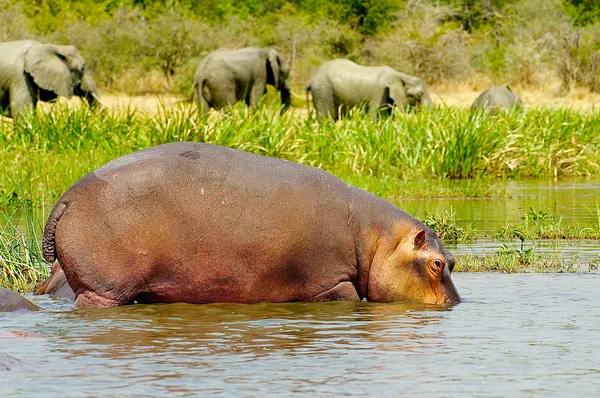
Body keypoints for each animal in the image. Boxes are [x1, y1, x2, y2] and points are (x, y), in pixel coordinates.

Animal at [304, 57, 432, 119]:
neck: (401, 75)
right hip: (323, 91)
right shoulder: (380, 93)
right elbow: (374, 116)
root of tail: (312, 78)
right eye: (419, 95)